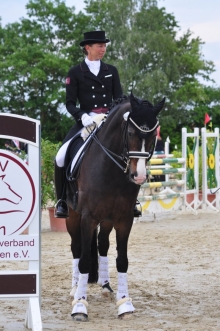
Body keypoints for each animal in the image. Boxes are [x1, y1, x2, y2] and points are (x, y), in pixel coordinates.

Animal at [65, 92, 165, 322]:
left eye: (153, 135)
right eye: (130, 132)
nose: (139, 176)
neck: (109, 168)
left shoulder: (123, 219)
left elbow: (122, 260)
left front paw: (125, 304)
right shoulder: (87, 218)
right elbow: (84, 260)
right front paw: (80, 306)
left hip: (107, 220)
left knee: (102, 245)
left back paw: (105, 286)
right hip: (72, 216)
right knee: (76, 248)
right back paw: (75, 289)